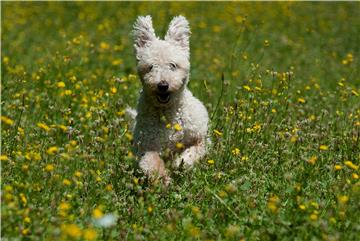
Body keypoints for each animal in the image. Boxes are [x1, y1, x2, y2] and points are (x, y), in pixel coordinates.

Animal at [131, 15, 208, 183]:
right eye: (151, 66)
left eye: (173, 65)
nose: (163, 85)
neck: (168, 112)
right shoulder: (147, 146)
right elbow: (151, 162)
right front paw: (162, 179)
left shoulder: (200, 138)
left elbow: (193, 151)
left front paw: (180, 163)